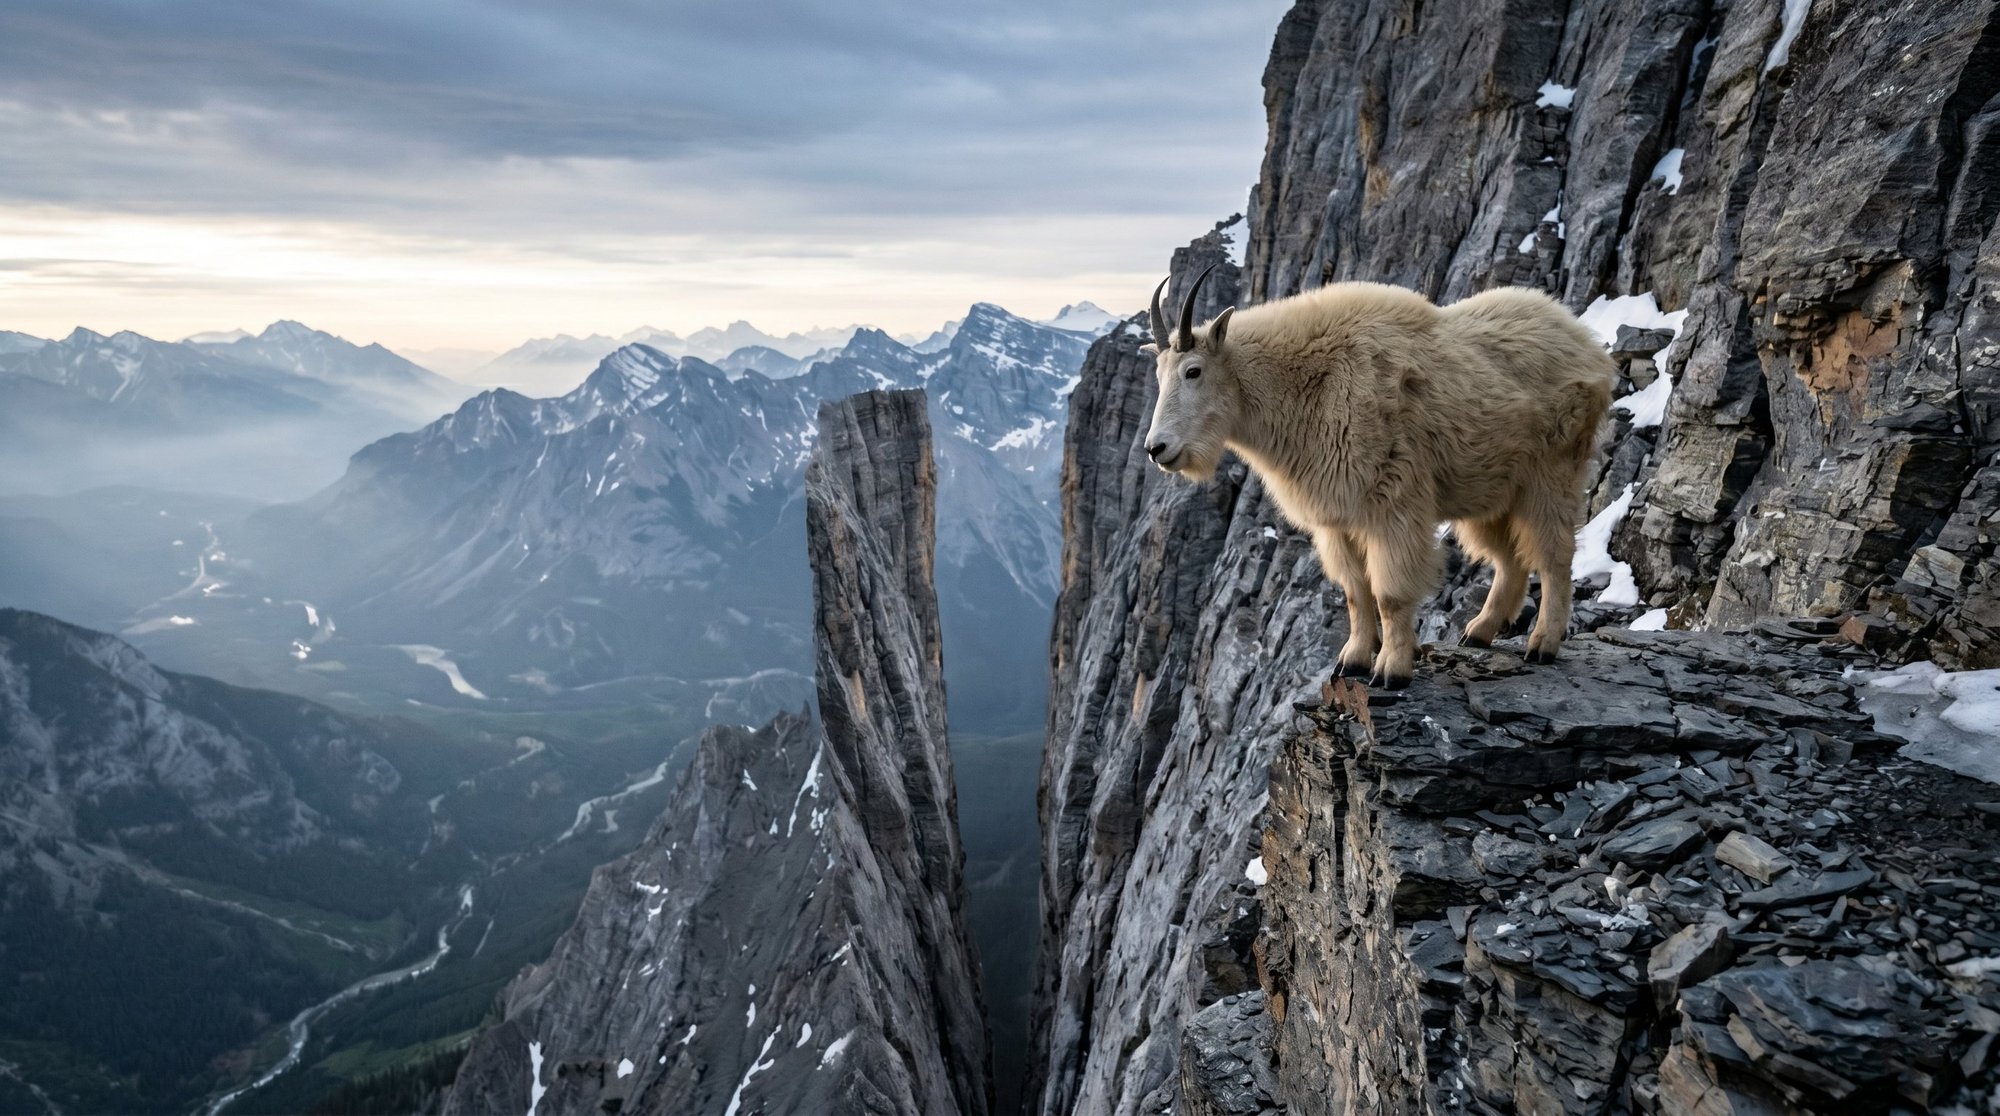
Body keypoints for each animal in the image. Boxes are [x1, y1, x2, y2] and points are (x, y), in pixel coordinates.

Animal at [1142, 268, 1614, 687]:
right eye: (1158, 375)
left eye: (1193, 371)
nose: (1156, 449)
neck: (1307, 385)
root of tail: (1586, 343)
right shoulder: (1336, 519)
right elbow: (1355, 592)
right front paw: (1352, 659)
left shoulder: (1393, 506)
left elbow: (1389, 594)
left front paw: (1391, 669)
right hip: (1491, 490)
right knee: (1509, 559)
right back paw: (1479, 631)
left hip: (1550, 475)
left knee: (1555, 556)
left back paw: (1543, 643)